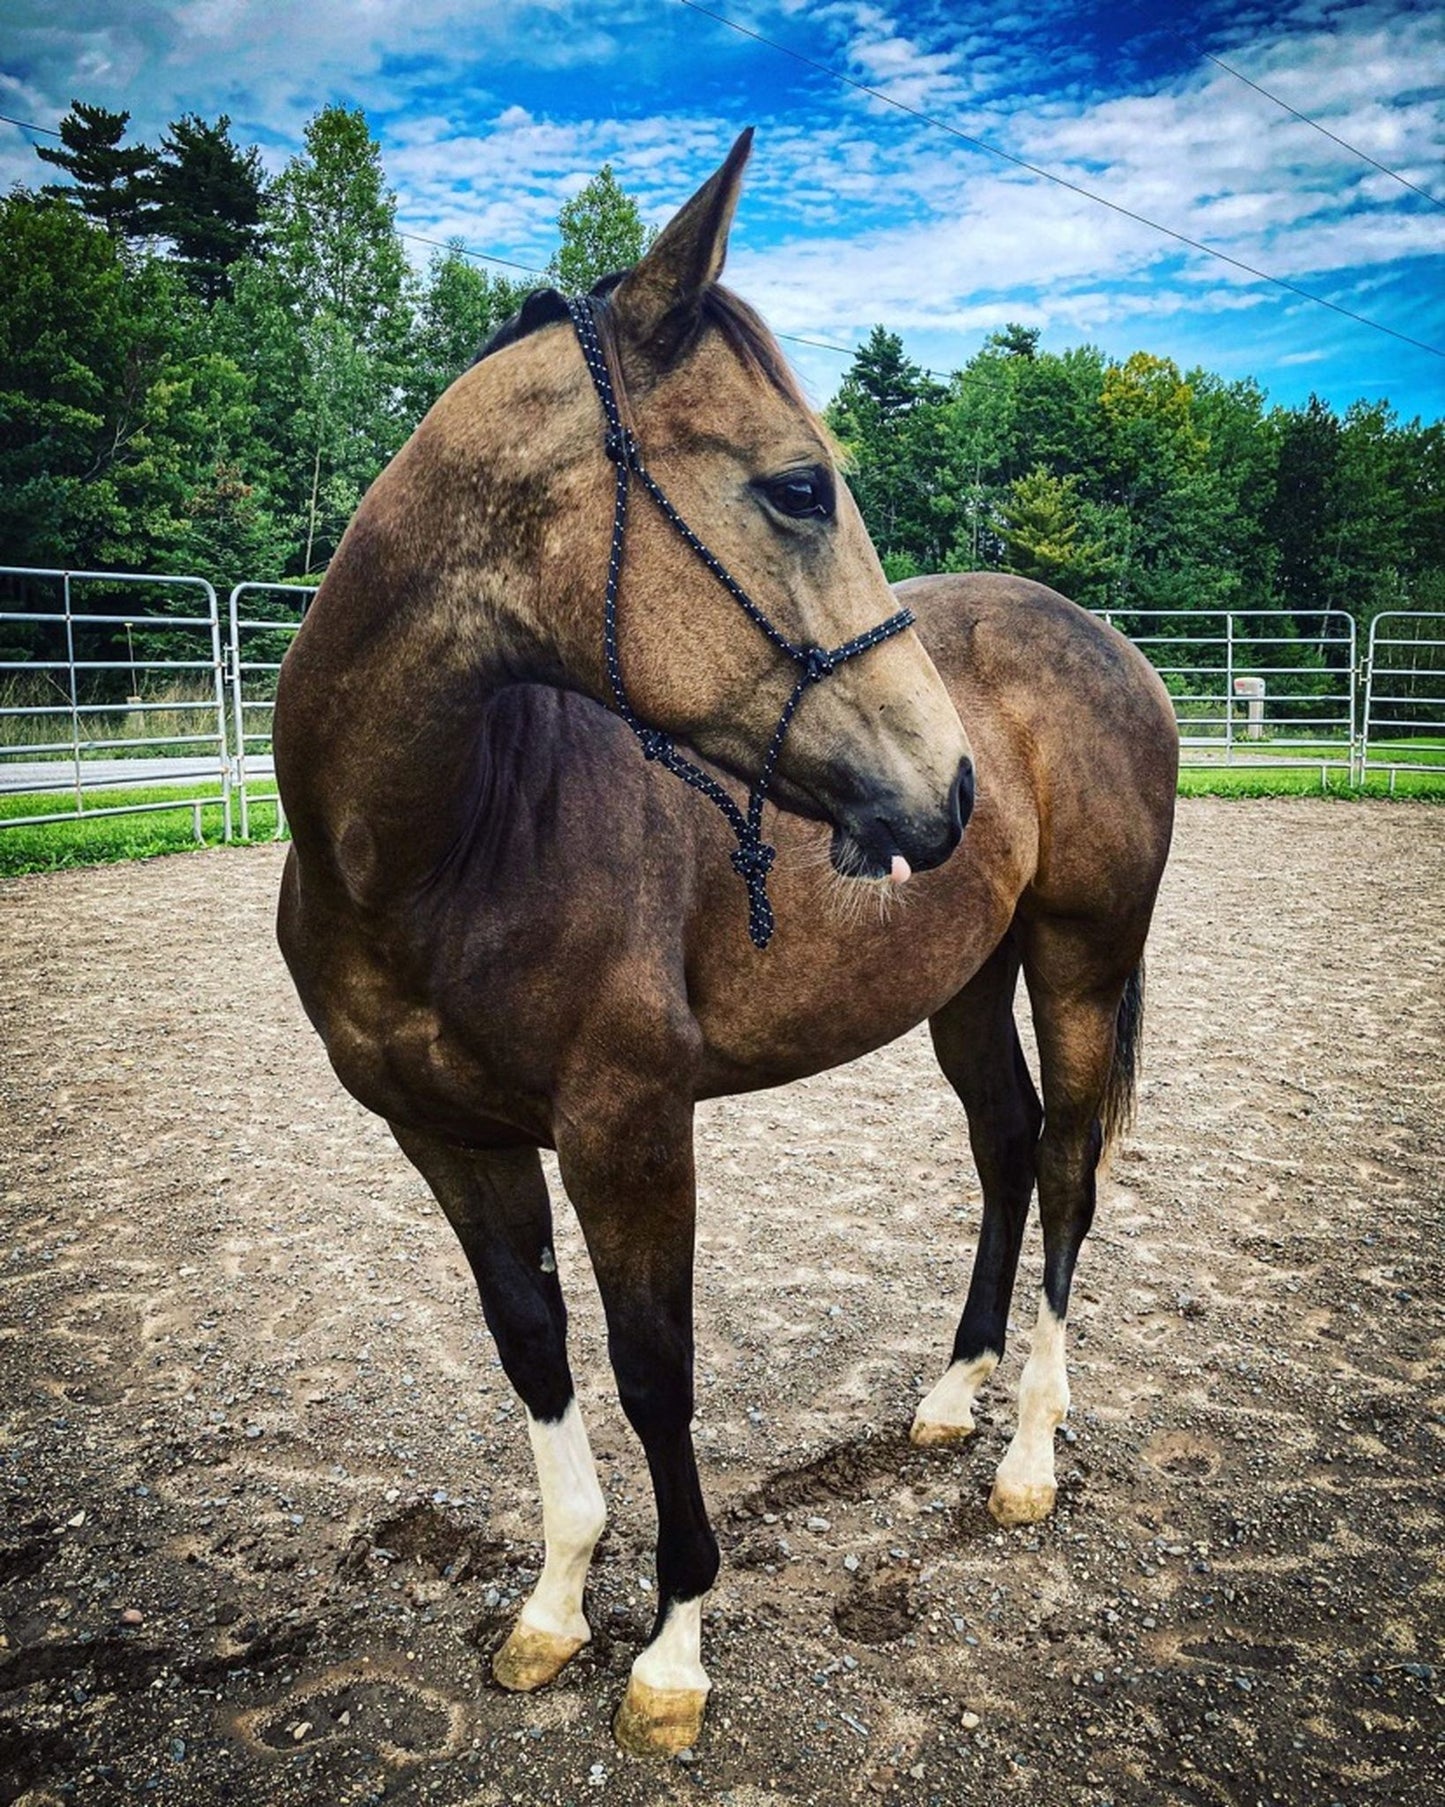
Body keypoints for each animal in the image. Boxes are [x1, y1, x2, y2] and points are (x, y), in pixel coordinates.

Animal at [270, 131, 1170, 1763]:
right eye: (799, 486)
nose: (949, 788)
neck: (445, 838)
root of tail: (1106, 641)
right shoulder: (447, 1138)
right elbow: (533, 1345)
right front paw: (553, 1606)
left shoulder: (629, 1128)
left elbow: (653, 1370)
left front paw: (673, 1644)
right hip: (962, 983)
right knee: (1007, 1145)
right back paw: (953, 1390)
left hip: (1077, 961)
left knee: (1071, 1166)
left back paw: (1027, 1448)